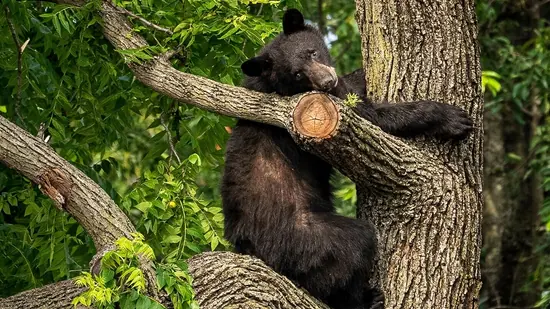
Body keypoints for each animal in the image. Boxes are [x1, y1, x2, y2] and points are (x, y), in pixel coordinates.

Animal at [222, 8, 472, 308]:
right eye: (297, 74)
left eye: (312, 52)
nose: (326, 81)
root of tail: (249, 247)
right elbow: (373, 118)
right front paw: (451, 119)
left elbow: (351, 89)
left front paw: (357, 74)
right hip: (304, 237)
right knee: (352, 249)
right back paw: (366, 297)